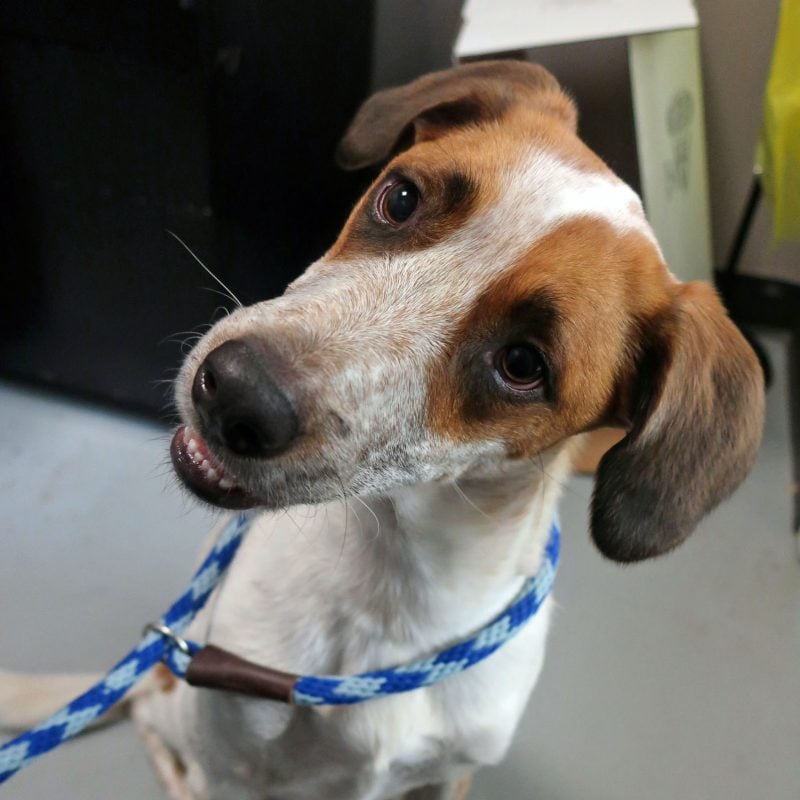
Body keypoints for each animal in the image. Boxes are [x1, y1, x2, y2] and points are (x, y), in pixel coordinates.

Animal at [0, 62, 764, 800]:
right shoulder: (230, 764)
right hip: (178, 706)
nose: (232, 389)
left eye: (523, 365)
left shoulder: (448, 775)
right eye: (400, 198)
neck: (391, 586)